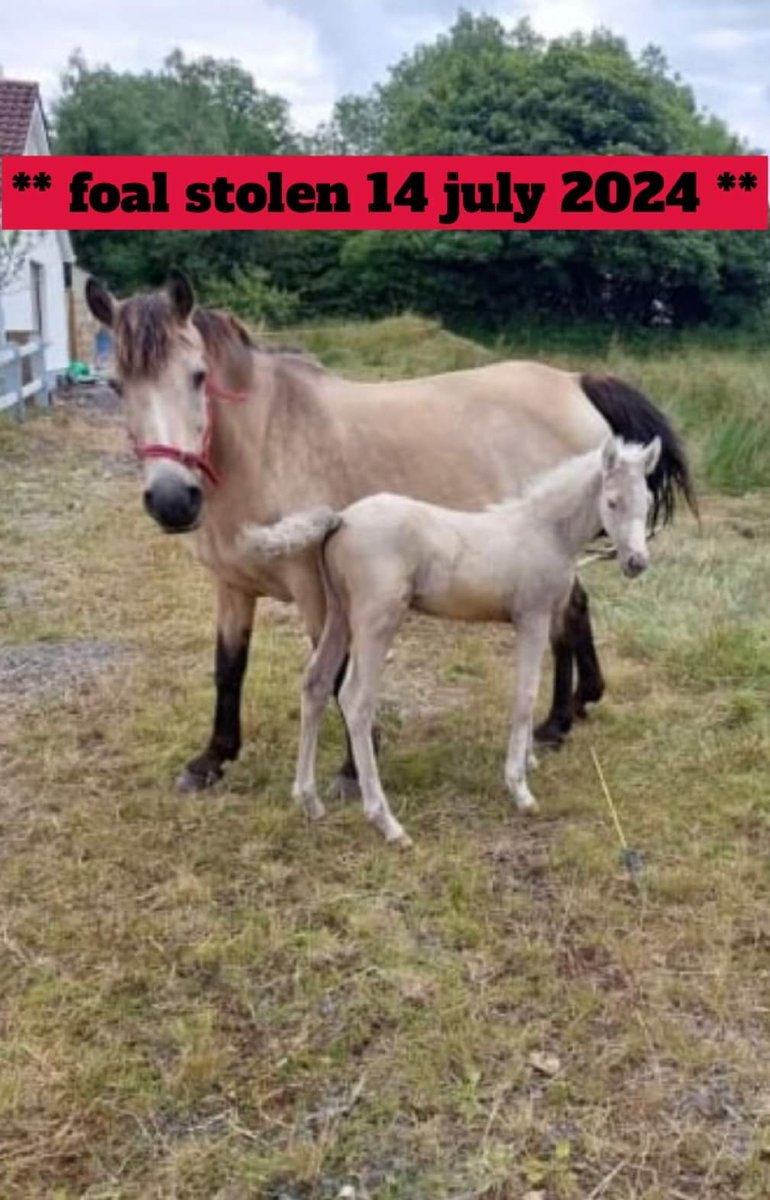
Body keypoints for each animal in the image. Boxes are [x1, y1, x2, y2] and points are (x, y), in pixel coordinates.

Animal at [84, 271, 696, 794]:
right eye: (115, 385)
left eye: (198, 376)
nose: (171, 499)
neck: (266, 442)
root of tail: (576, 382)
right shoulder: (232, 586)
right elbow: (228, 667)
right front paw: (212, 758)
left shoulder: (316, 591)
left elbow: (335, 675)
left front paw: (355, 769)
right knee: (576, 612)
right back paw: (582, 703)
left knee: (564, 622)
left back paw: (555, 723)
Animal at [238, 435, 661, 844]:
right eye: (612, 501)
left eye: (648, 501)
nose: (637, 563)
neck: (545, 532)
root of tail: (341, 519)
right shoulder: (533, 618)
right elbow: (526, 695)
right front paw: (519, 788)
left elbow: (526, 691)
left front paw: (528, 762)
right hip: (376, 622)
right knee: (356, 700)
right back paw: (387, 823)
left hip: (339, 615)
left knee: (316, 684)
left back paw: (308, 799)